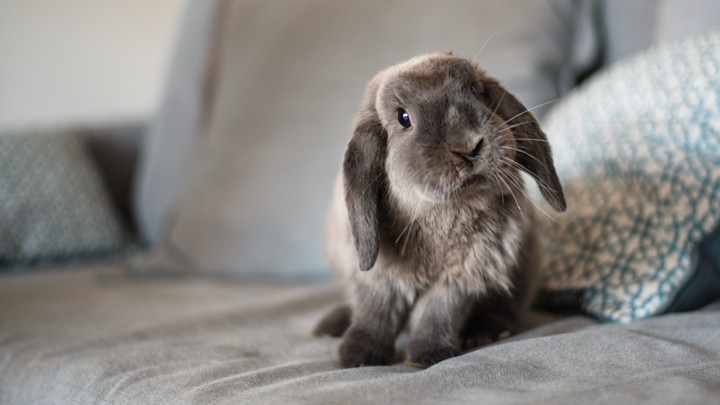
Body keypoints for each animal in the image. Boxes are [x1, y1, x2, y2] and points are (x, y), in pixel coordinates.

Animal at [313, 53, 566, 368]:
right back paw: (329, 326)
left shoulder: (462, 277)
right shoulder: (379, 276)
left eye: (476, 91)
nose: (469, 146)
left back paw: (485, 332)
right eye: (403, 117)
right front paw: (356, 355)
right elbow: (376, 311)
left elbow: (438, 313)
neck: (441, 212)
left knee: (507, 308)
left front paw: (427, 355)